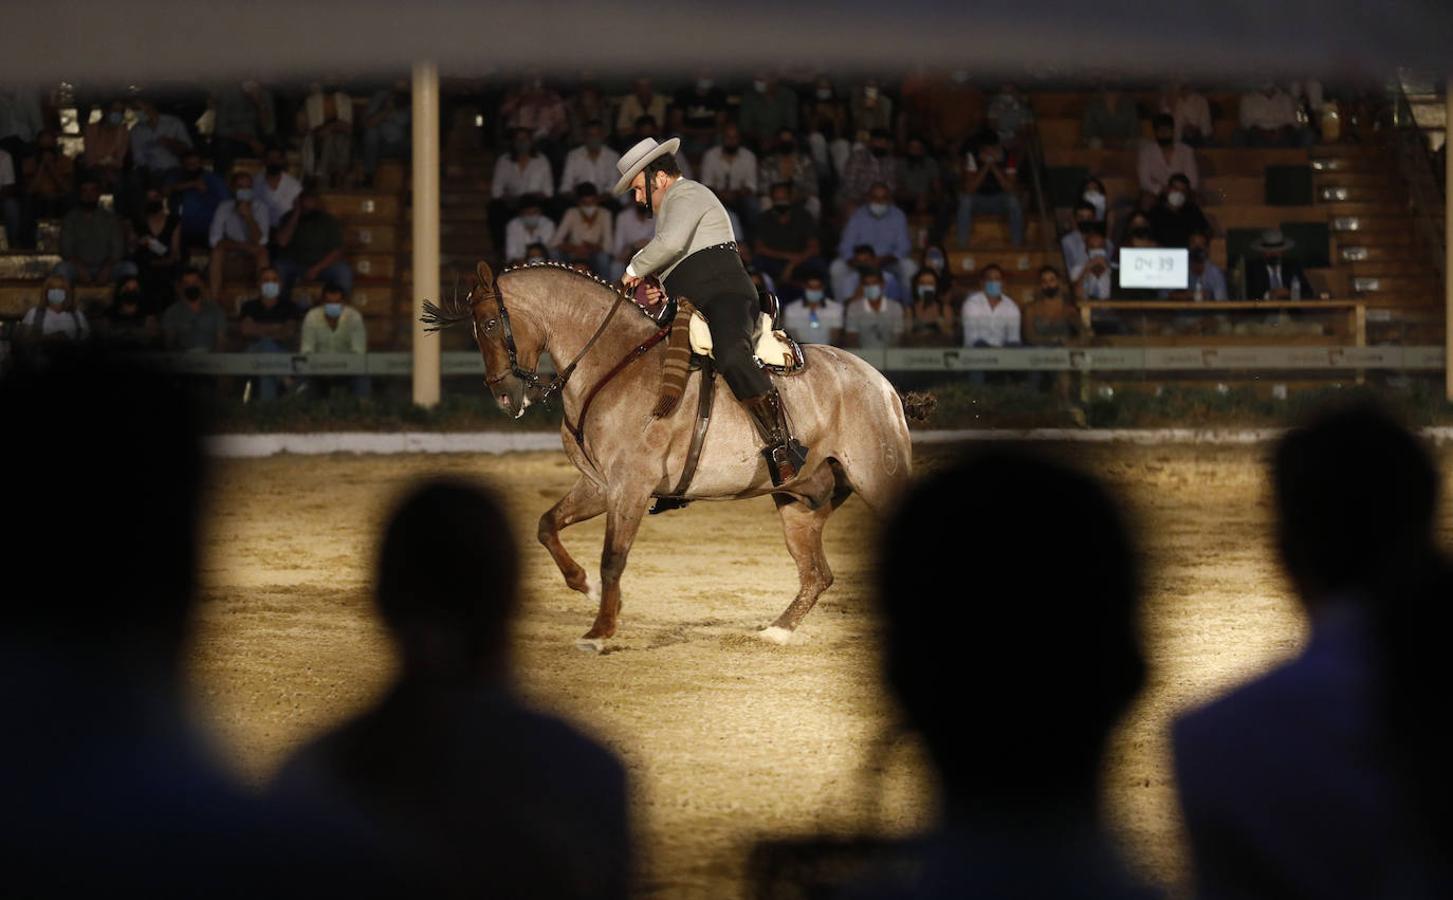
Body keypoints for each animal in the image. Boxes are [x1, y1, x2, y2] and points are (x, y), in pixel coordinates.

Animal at [421, 260, 924, 654]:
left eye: (490, 325)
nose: (507, 397)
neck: (612, 365)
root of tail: (882, 383)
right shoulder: (600, 486)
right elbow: (547, 526)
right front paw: (588, 590)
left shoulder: (630, 486)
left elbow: (613, 557)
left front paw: (599, 631)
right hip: (799, 501)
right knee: (817, 575)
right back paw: (776, 632)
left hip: (878, 479)